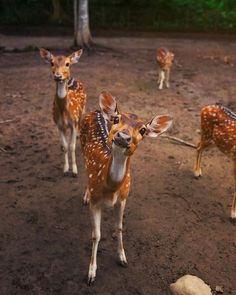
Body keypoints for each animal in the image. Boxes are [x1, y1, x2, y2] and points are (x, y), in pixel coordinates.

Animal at [39, 48, 86, 177]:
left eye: (67, 64)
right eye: (52, 63)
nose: (58, 76)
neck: (64, 112)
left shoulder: (74, 123)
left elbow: (72, 146)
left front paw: (74, 171)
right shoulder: (59, 125)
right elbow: (65, 146)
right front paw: (65, 169)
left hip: (82, 111)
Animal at [80, 91, 172, 286]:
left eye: (143, 130)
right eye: (117, 119)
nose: (123, 137)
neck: (111, 188)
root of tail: (97, 110)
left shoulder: (123, 198)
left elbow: (120, 228)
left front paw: (122, 258)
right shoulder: (96, 202)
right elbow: (96, 235)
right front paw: (91, 273)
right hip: (81, 145)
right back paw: (85, 195)